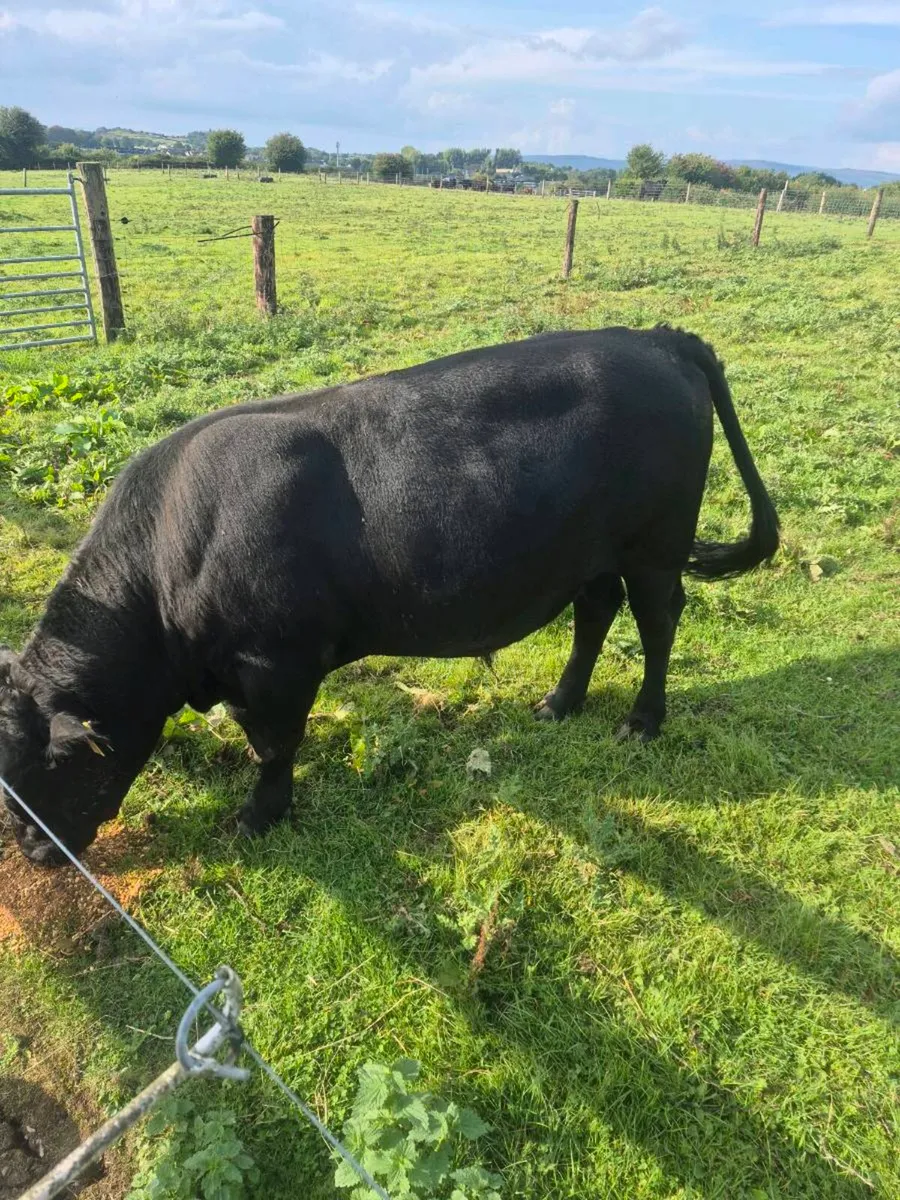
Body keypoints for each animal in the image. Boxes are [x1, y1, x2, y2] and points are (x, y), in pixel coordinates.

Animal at [0, 326, 780, 866]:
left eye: (43, 773)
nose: (36, 856)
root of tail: (655, 338)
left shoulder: (275, 662)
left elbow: (273, 744)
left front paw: (260, 815)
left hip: (655, 547)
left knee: (658, 621)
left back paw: (642, 721)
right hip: (591, 556)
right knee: (594, 615)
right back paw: (559, 704)